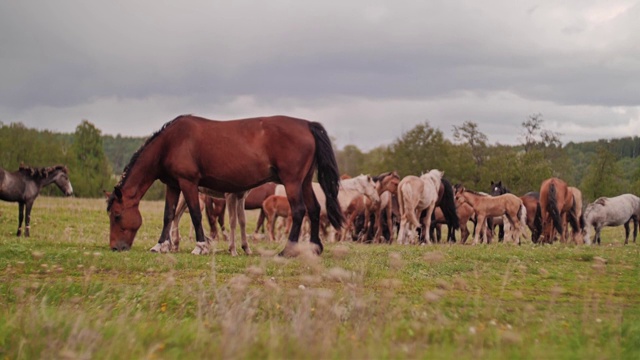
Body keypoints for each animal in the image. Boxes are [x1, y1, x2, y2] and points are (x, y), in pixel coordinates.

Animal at [106, 115, 344, 256]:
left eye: (117, 215)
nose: (115, 247)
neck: (171, 142)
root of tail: (307, 124)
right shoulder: (173, 185)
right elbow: (169, 215)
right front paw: (160, 245)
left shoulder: (188, 183)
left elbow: (195, 215)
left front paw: (200, 246)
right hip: (305, 182)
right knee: (314, 209)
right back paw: (315, 248)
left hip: (292, 182)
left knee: (299, 211)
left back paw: (287, 250)